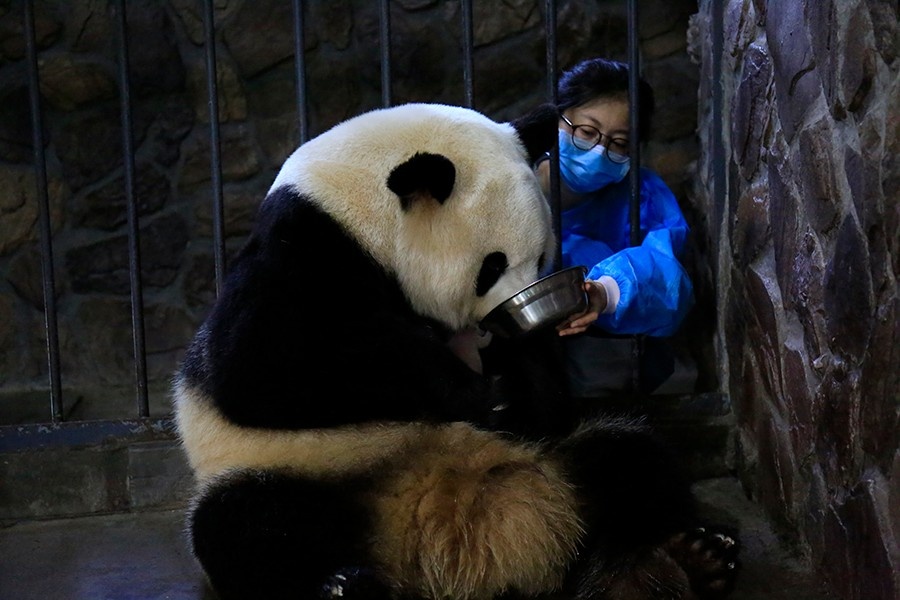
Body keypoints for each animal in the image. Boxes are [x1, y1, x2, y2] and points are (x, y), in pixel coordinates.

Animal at [172, 104, 740, 600]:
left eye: (542, 256)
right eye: (492, 265)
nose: (517, 308)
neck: (355, 210)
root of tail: (448, 558)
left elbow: (549, 408)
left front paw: (515, 374)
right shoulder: (302, 252)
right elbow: (262, 365)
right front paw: (482, 392)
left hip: (553, 464)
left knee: (629, 459)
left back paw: (685, 562)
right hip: (308, 471)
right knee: (249, 526)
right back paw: (343, 586)